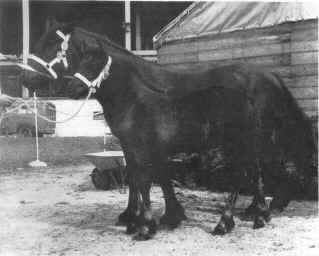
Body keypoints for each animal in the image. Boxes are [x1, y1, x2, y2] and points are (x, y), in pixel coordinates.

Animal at [22, 24, 318, 240]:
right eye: (79, 59)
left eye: (52, 46)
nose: (26, 79)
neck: (133, 97)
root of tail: (270, 77)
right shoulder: (136, 146)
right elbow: (144, 178)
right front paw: (146, 218)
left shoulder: (143, 147)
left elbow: (144, 180)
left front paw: (146, 224)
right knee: (255, 173)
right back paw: (258, 214)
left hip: (244, 142)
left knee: (250, 174)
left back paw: (231, 221)